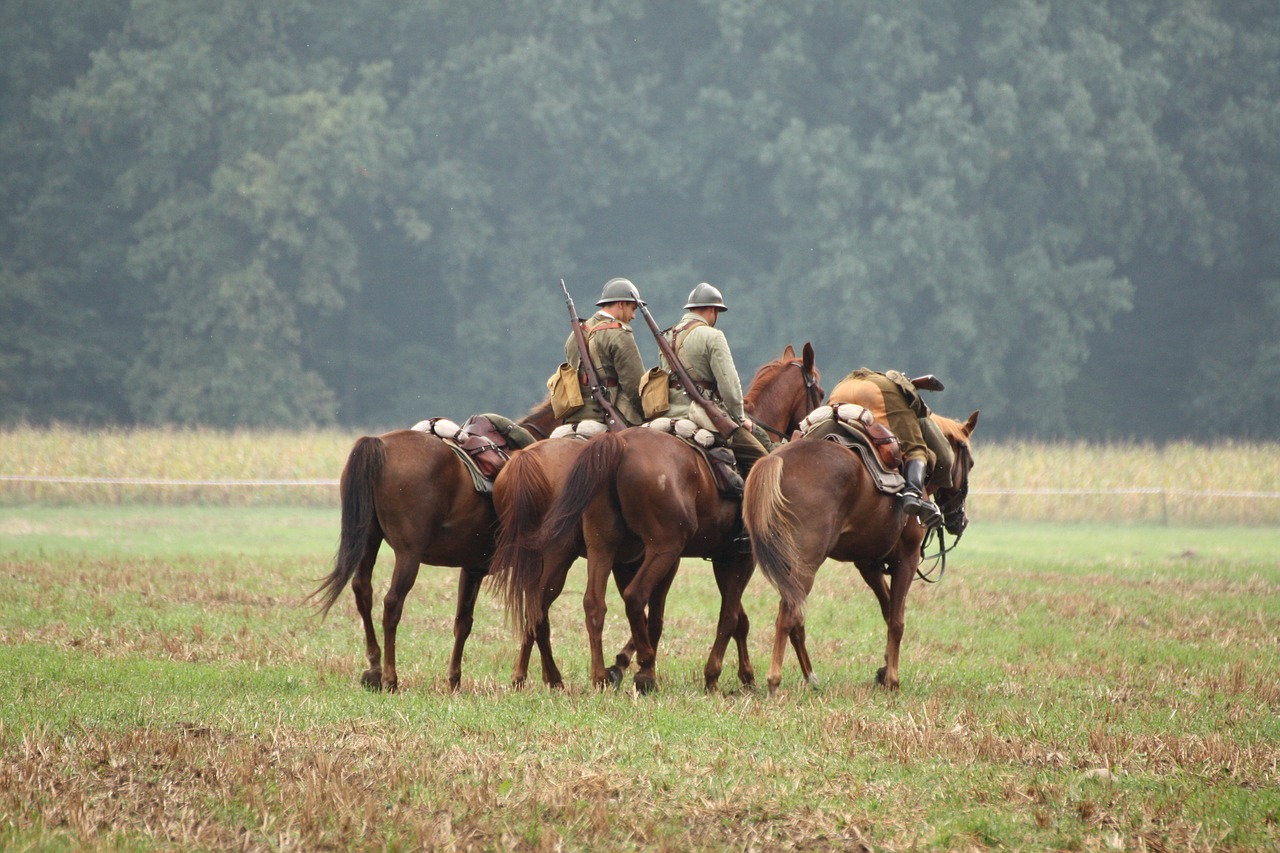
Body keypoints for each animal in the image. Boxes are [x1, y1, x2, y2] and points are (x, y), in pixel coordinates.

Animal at [310, 401, 560, 693]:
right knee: (392, 604)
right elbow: (536, 617)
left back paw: (374, 668)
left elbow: (464, 622)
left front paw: (454, 680)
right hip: (408, 554)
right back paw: (390, 677)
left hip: (369, 540)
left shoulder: (473, 568)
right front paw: (539, 677)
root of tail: (379, 445)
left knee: (363, 591)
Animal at [517, 343, 823, 693]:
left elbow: (710, 618)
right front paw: (714, 675)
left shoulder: (699, 557)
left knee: (576, 604)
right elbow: (729, 617)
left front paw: (744, 675)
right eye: (818, 390)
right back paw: (640, 673)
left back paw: (583, 676)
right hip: (658, 548)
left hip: (593, 547)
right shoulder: (735, 558)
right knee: (630, 598)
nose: (810, 432)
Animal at [742, 405, 978, 695]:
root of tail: (776, 459)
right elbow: (897, 620)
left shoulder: (868, 564)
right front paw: (893, 680)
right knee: (788, 613)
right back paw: (775, 680)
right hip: (805, 564)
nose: (960, 520)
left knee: (794, 616)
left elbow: (888, 611)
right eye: (970, 463)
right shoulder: (907, 558)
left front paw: (884, 669)